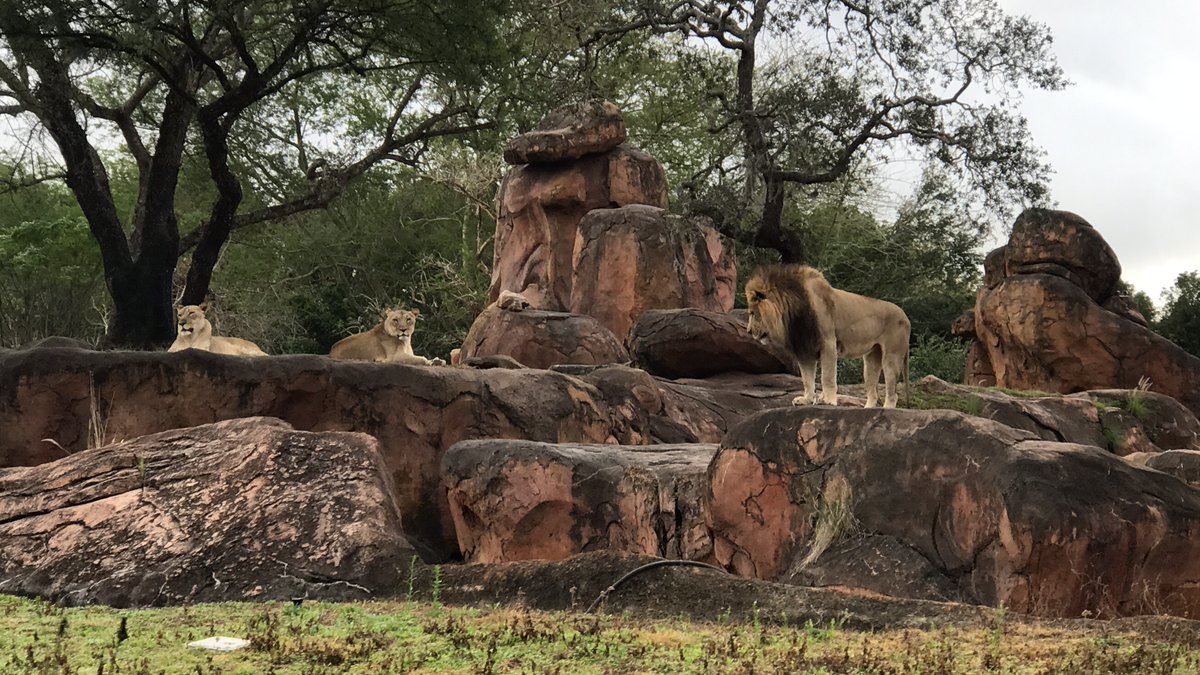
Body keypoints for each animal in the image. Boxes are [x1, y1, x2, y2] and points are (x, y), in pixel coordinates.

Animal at [745, 264, 910, 408]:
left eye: (753, 313)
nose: (748, 331)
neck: (792, 313)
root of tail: (906, 317)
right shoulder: (805, 349)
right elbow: (807, 379)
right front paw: (806, 400)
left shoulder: (828, 343)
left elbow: (828, 376)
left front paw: (828, 400)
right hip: (871, 358)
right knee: (873, 392)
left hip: (892, 356)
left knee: (893, 392)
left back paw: (887, 408)